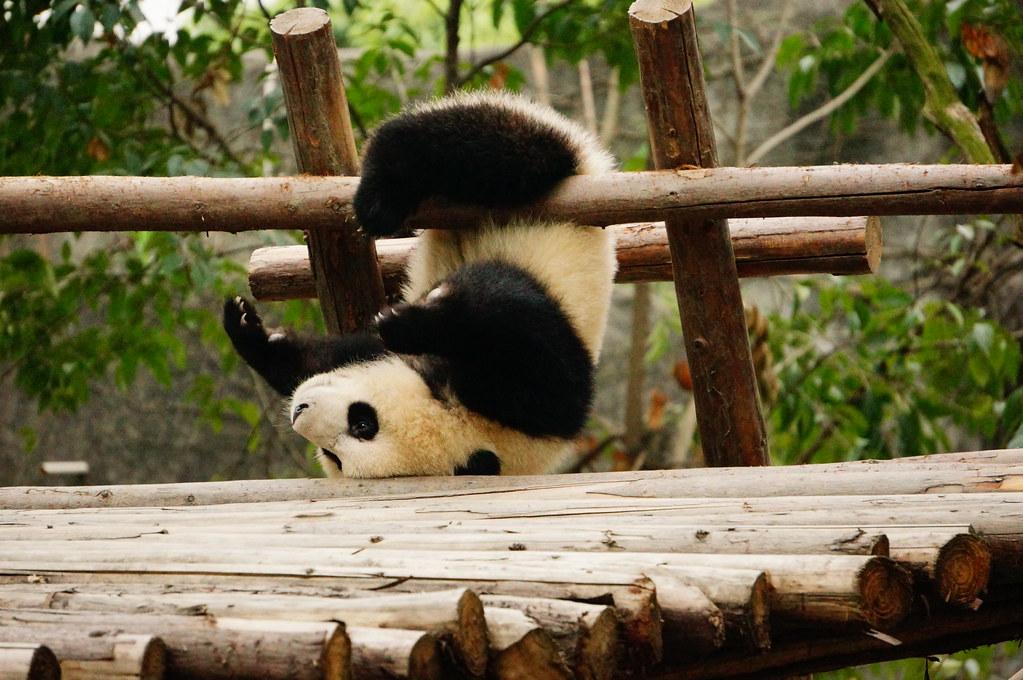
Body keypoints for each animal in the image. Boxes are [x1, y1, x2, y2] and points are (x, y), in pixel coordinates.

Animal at [224, 91, 616, 478]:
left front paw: (412, 321)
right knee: (476, 145)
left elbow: (519, 322)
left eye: (361, 427)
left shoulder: (536, 401)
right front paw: (246, 327)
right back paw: (379, 201)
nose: (299, 410)